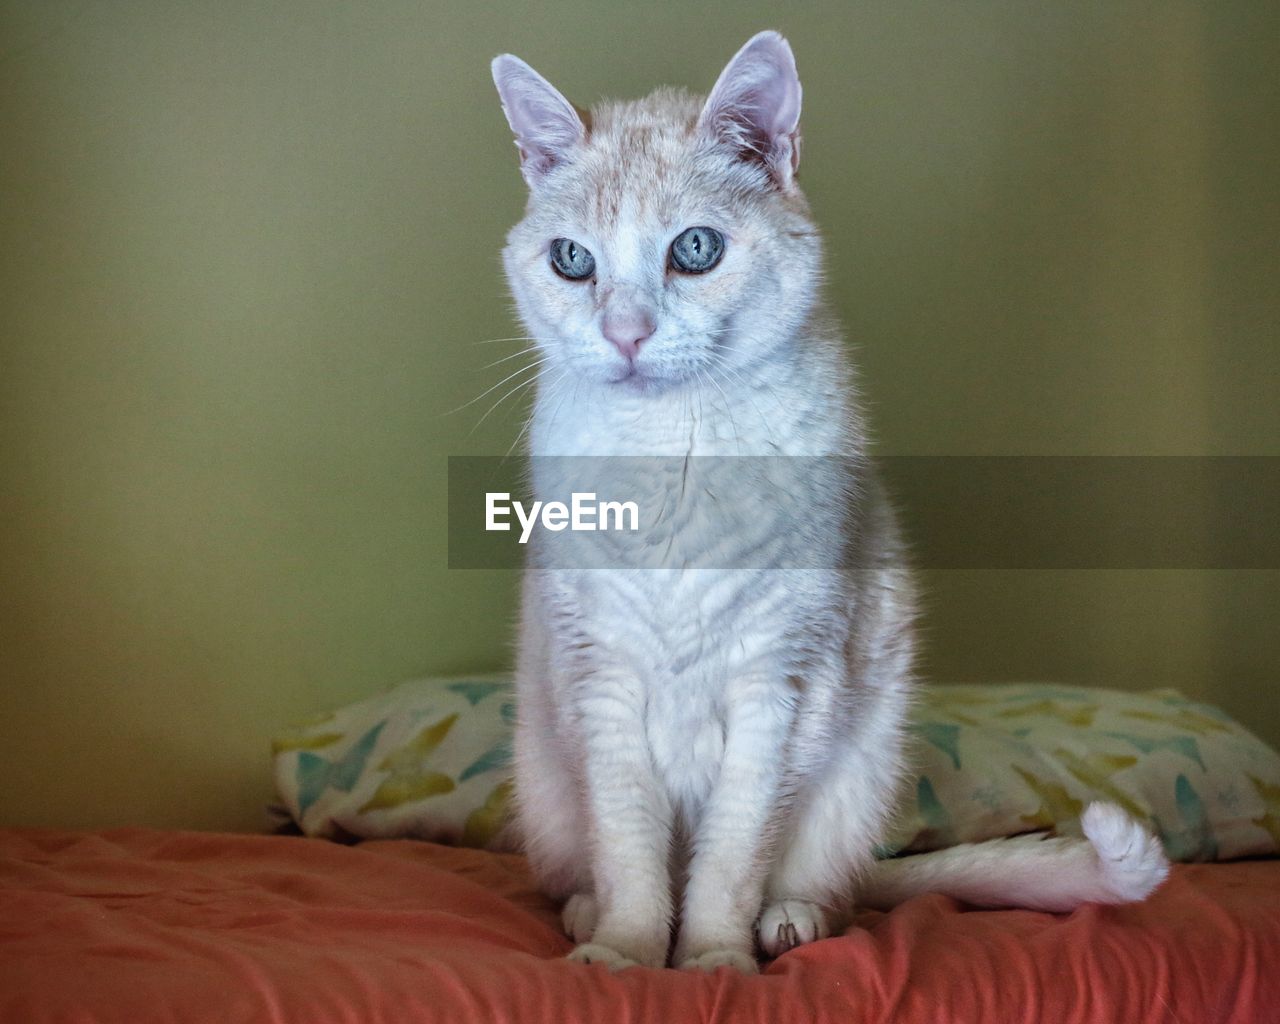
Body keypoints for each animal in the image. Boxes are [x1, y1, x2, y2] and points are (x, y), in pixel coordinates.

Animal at [488, 32, 1172, 972]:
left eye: (694, 249)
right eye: (571, 261)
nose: (624, 334)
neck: (674, 457)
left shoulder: (779, 684)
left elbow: (730, 861)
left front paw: (713, 961)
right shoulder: (604, 681)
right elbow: (631, 856)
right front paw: (624, 956)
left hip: (861, 765)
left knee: (824, 887)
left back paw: (787, 925)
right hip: (548, 786)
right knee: (592, 873)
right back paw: (589, 918)